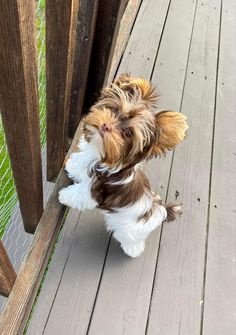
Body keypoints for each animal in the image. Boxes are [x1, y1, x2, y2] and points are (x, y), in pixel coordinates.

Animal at [59, 74, 188, 258]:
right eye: (114, 110)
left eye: (128, 134)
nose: (106, 126)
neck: (102, 153)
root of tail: (160, 210)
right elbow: (79, 164)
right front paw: (71, 166)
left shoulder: (95, 189)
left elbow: (80, 194)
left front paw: (64, 195)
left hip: (130, 231)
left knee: (131, 241)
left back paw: (132, 251)